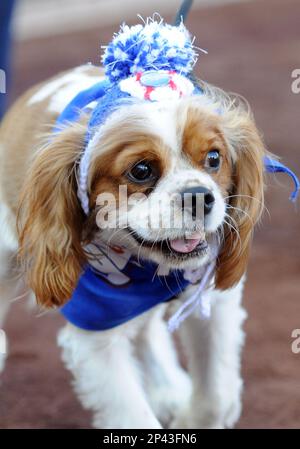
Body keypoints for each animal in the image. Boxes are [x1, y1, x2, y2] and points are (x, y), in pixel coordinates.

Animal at [0, 20, 268, 428]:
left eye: (213, 158)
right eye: (141, 170)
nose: (199, 195)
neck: (144, 270)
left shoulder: (213, 303)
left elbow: (216, 394)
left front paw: (191, 420)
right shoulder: (95, 333)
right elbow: (133, 415)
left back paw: (168, 388)